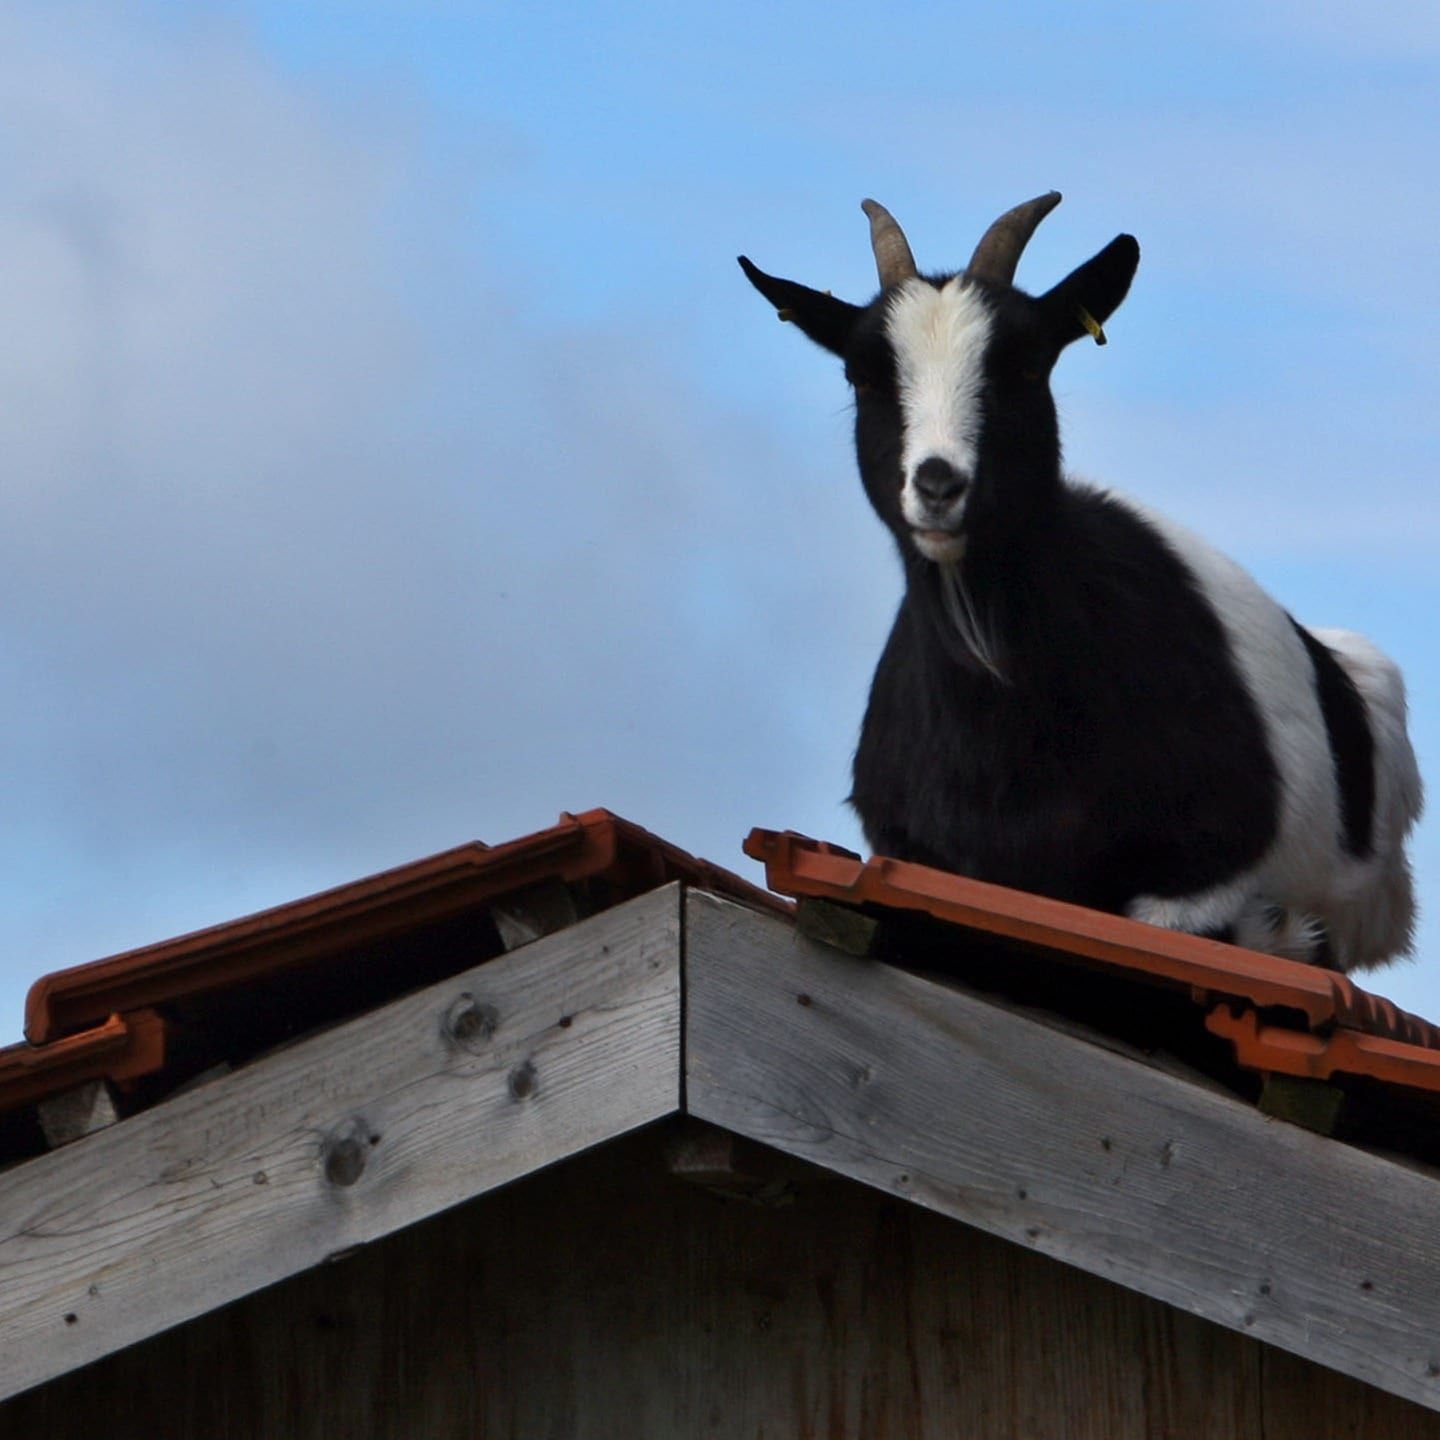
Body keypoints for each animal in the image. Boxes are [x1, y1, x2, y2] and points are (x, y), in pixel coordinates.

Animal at [740, 193, 1421, 970]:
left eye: (1027, 364)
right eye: (861, 375)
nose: (939, 485)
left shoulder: (1198, 878)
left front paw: (1277, 931)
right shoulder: (916, 856)